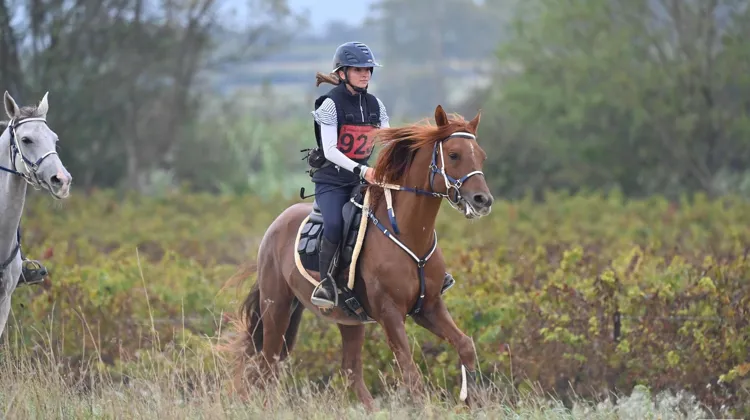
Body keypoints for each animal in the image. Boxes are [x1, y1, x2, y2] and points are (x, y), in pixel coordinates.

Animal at [224, 104, 493, 411]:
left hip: (348, 319)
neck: (408, 233)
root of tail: (273, 228)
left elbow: (465, 346)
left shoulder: (429, 307)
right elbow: (411, 373)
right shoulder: (390, 313)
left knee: (349, 370)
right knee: (268, 363)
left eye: (481, 155)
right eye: (454, 154)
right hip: (277, 307)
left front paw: (475, 401)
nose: (483, 200)